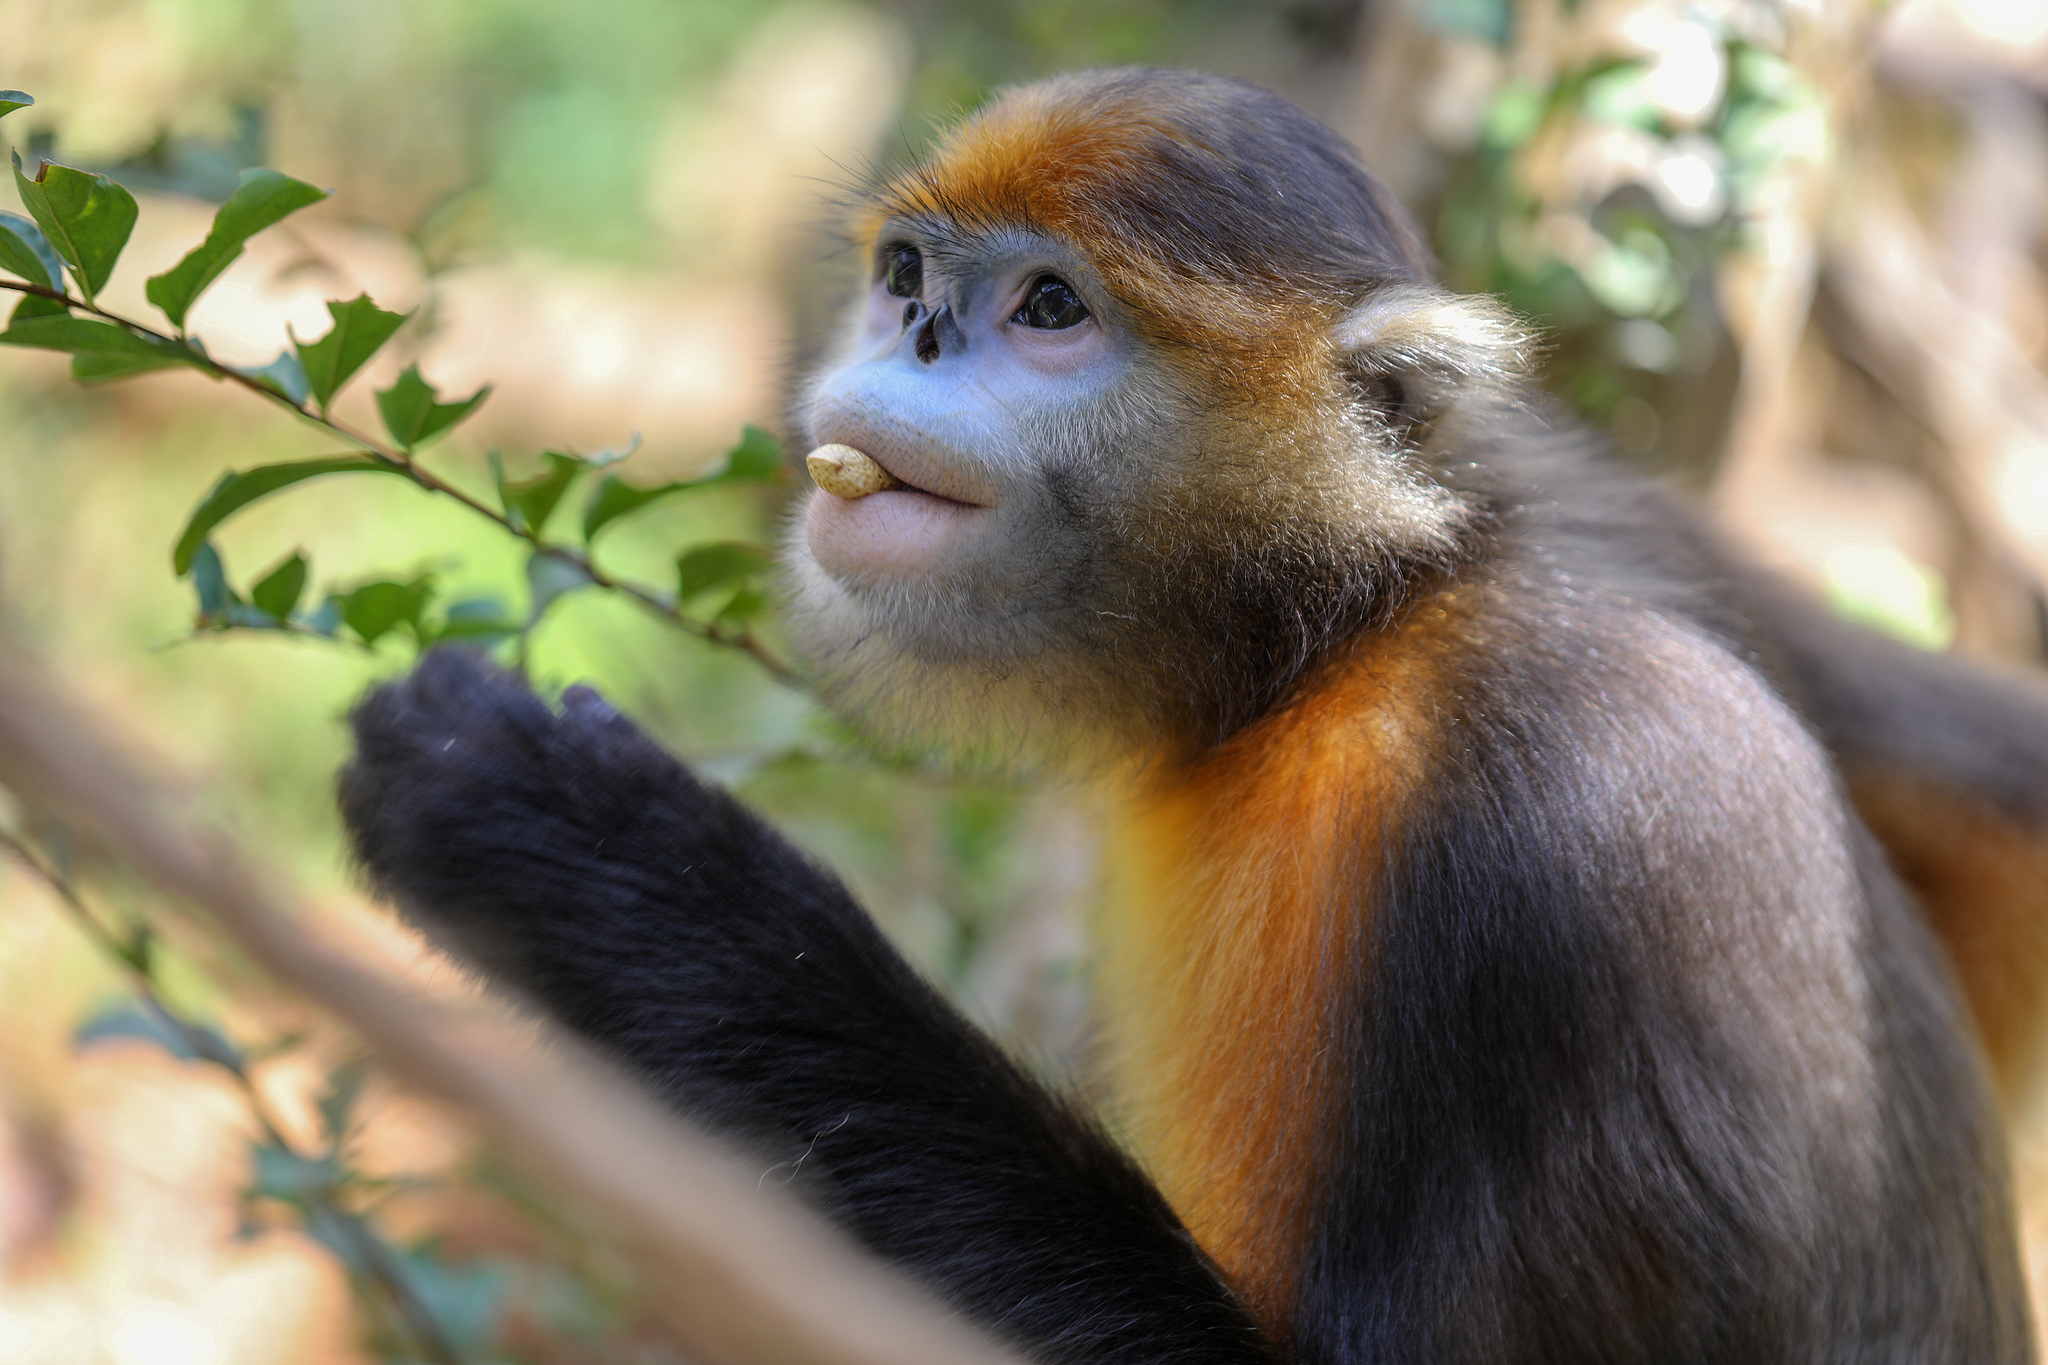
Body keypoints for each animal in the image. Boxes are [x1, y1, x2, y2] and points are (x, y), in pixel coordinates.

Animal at [339, 68, 2048, 1363]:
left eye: (1049, 306)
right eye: (907, 277)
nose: (912, 338)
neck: (1343, 640)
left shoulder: (1561, 816)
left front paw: (589, 846)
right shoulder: (1593, 503)